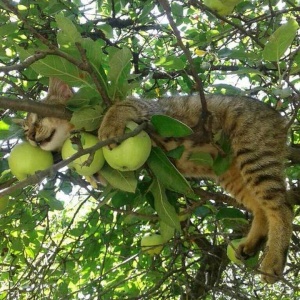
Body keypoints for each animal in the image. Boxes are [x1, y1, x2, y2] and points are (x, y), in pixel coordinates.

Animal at [22, 78, 292, 284]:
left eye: (36, 119)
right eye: (25, 132)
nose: (31, 137)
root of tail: (278, 117)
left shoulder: (150, 111)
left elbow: (120, 105)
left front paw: (108, 125)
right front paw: (90, 174)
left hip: (253, 156)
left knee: (282, 208)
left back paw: (273, 260)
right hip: (232, 175)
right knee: (261, 208)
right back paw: (252, 243)